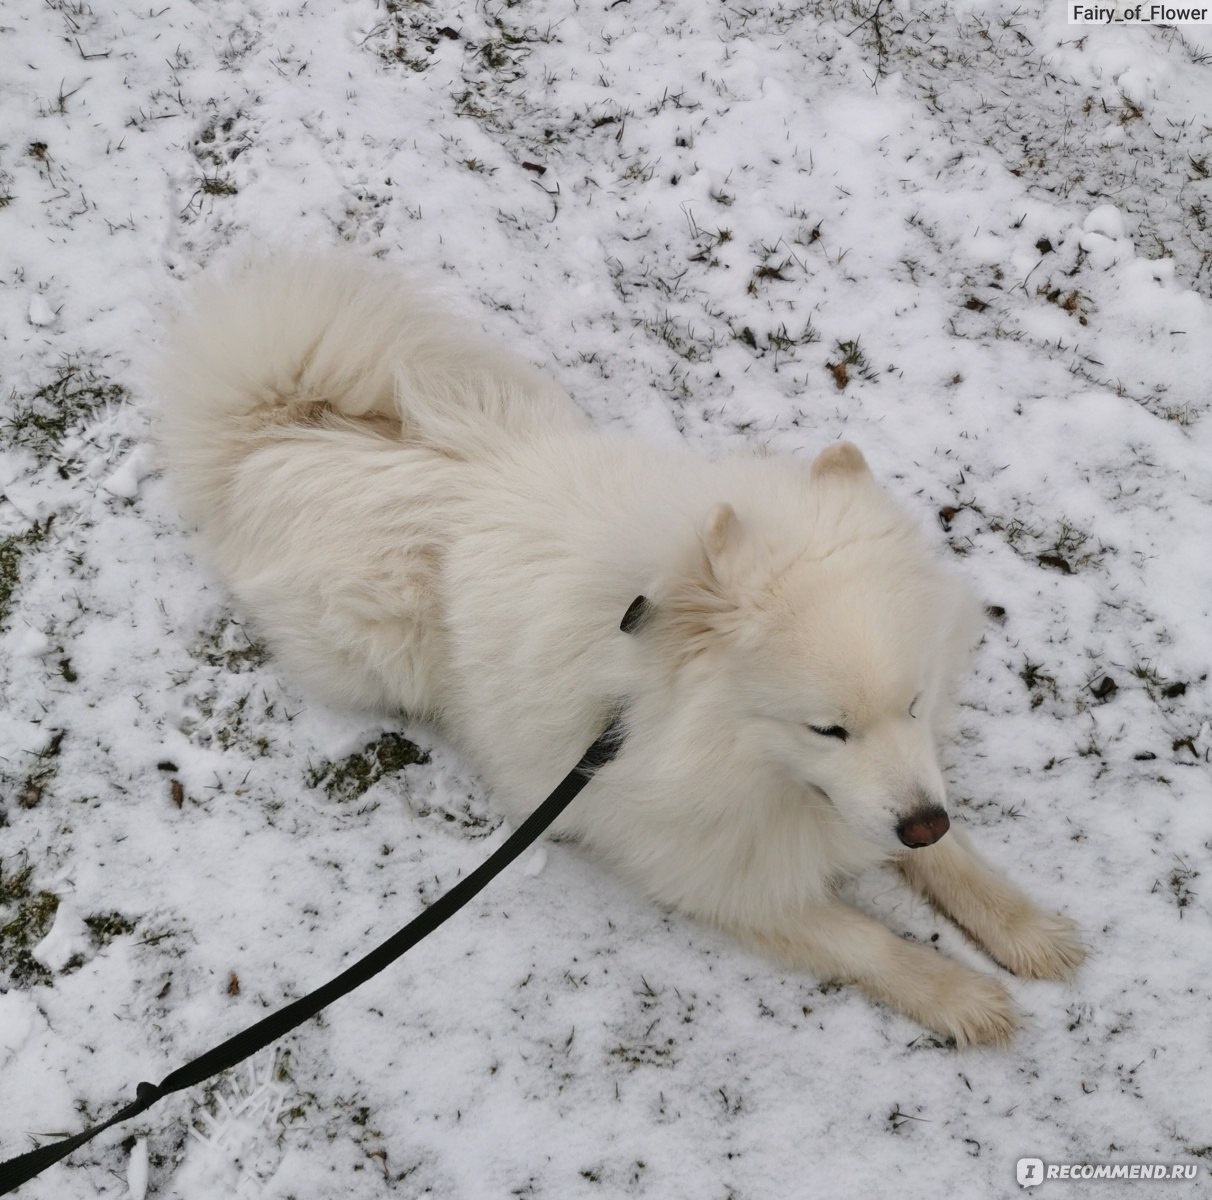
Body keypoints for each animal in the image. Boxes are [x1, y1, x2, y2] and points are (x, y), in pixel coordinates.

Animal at [156, 250, 1085, 1042]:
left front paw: (1028, 929)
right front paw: (963, 998)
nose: (922, 823)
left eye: (917, 703)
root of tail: (281, 431)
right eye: (828, 730)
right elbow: (867, 941)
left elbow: (956, 859)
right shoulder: (715, 871)